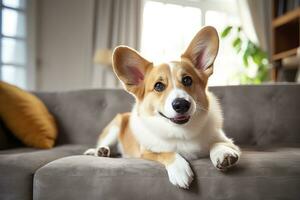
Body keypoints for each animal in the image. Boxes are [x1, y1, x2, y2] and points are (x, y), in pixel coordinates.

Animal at [84, 26, 239, 189]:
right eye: (158, 86)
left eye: (187, 80)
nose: (181, 104)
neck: (180, 132)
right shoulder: (146, 152)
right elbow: (167, 152)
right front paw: (179, 170)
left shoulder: (228, 141)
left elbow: (218, 143)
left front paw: (223, 153)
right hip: (115, 127)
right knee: (105, 143)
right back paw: (100, 151)